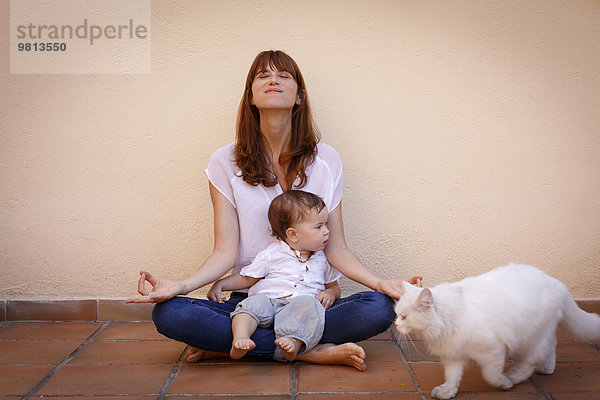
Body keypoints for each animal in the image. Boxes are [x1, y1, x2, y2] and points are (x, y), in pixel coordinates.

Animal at [394, 264, 600, 398]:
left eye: (403, 317)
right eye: (396, 314)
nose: (395, 324)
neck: (448, 320)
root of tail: (556, 283)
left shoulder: (492, 349)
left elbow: (491, 375)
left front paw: (503, 384)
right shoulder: (453, 353)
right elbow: (452, 376)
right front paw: (447, 391)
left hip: (529, 338)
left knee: (532, 360)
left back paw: (514, 377)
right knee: (550, 348)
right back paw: (546, 369)